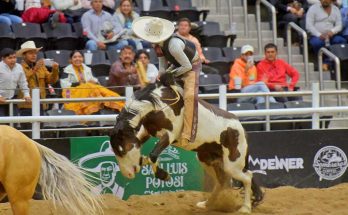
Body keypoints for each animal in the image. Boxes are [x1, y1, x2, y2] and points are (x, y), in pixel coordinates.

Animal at [110, 79, 262, 213]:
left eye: (123, 149)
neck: (158, 104)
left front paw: (163, 175)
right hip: (208, 160)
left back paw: (245, 208)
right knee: (222, 182)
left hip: (233, 164)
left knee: (247, 177)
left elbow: (153, 155)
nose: (128, 174)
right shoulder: (145, 132)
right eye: (115, 151)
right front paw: (145, 162)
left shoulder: (170, 134)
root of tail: (240, 127)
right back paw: (207, 204)